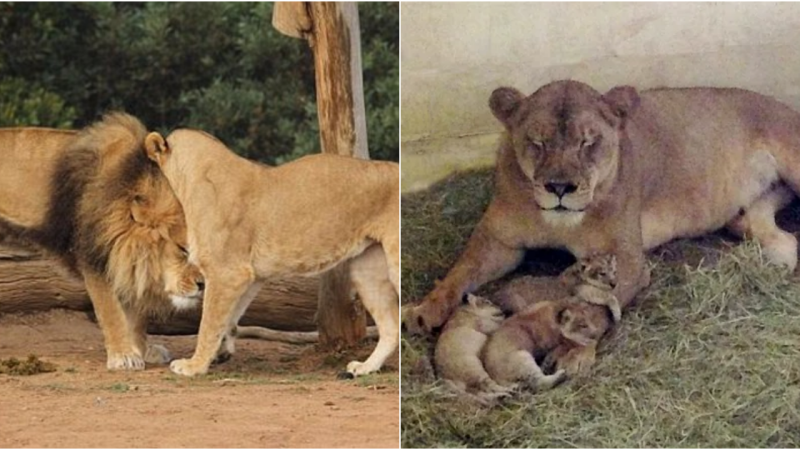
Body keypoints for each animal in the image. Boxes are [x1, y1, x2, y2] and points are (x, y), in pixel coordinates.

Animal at [0, 114, 203, 370]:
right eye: (183, 250)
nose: (203, 285)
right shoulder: (96, 255)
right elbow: (111, 311)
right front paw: (123, 356)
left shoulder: (128, 259)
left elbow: (136, 315)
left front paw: (141, 349)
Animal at [144, 129, 400, 376]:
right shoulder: (249, 276)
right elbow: (229, 317)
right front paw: (221, 352)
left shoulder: (226, 272)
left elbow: (209, 323)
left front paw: (194, 366)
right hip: (366, 270)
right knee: (391, 327)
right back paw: (365, 367)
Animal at [410, 81, 800, 334]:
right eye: (537, 141)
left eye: (588, 142)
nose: (559, 187)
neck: (557, 223)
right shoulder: (498, 242)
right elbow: (460, 272)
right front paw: (422, 311)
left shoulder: (625, 257)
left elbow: (601, 300)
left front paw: (583, 326)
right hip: (750, 213)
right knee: (776, 235)